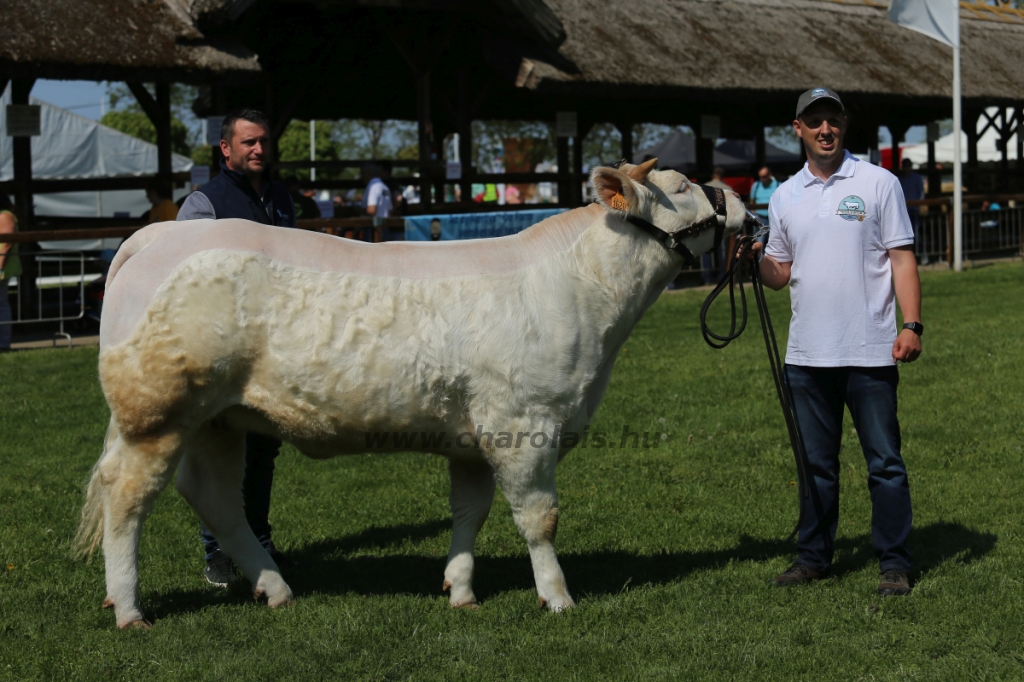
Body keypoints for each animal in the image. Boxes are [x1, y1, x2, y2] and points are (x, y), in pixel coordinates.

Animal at [74, 159, 745, 626]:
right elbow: (539, 517)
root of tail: (155, 237)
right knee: (127, 497)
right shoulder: (523, 423)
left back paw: (277, 589)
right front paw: (557, 597)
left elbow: (470, 512)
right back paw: (129, 609)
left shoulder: (474, 437)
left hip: (220, 419)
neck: (585, 298)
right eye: (682, 183)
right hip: (156, 414)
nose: (739, 199)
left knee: (214, 497)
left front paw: (461, 590)